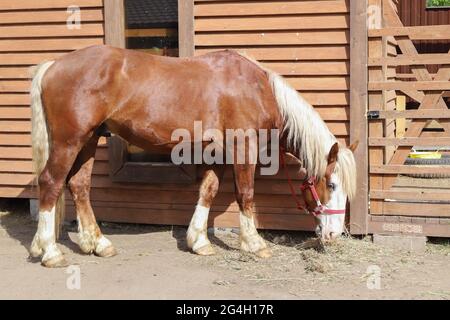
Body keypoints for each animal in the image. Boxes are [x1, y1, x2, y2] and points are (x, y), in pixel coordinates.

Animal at [29, 43, 356, 266]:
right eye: (331, 185)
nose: (333, 235)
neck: (256, 88)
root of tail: (54, 65)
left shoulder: (218, 152)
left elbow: (208, 191)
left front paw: (198, 241)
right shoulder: (243, 146)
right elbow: (246, 194)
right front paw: (254, 243)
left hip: (88, 139)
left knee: (79, 186)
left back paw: (97, 243)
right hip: (69, 141)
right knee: (50, 183)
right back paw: (50, 251)